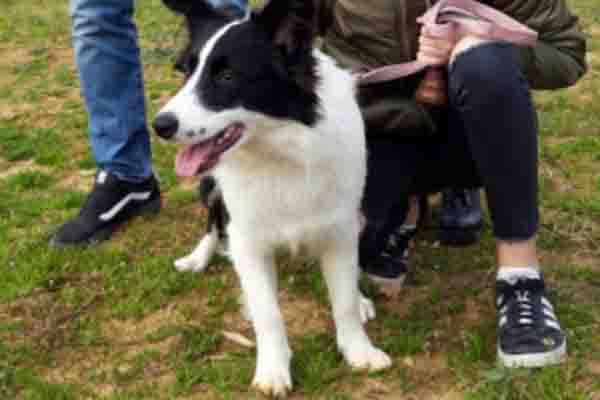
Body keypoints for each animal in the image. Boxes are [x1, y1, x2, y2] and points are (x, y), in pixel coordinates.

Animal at [152, 0, 392, 396]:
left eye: (227, 76)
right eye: (185, 72)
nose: (160, 125)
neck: (281, 151)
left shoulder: (340, 230)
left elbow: (342, 299)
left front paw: (359, 350)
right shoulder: (248, 240)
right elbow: (268, 312)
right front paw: (273, 370)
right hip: (211, 188)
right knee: (212, 222)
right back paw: (198, 258)